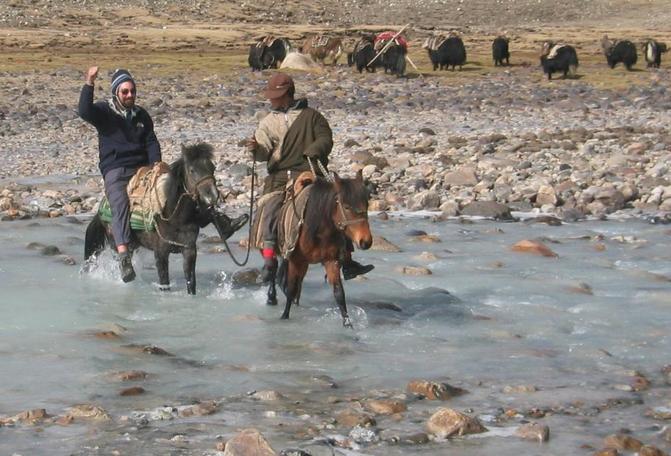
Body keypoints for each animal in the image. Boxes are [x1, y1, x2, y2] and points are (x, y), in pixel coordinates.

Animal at [83, 142, 220, 294]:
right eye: (192, 170)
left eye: (212, 168)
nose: (212, 195)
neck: (175, 217)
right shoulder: (160, 254)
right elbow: (164, 283)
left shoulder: (189, 251)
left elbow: (191, 283)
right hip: (115, 243)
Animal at [268, 171, 372, 328]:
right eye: (346, 207)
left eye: (367, 204)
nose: (366, 241)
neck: (320, 229)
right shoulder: (294, 260)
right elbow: (290, 289)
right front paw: (284, 317)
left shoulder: (331, 261)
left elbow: (339, 293)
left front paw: (348, 324)